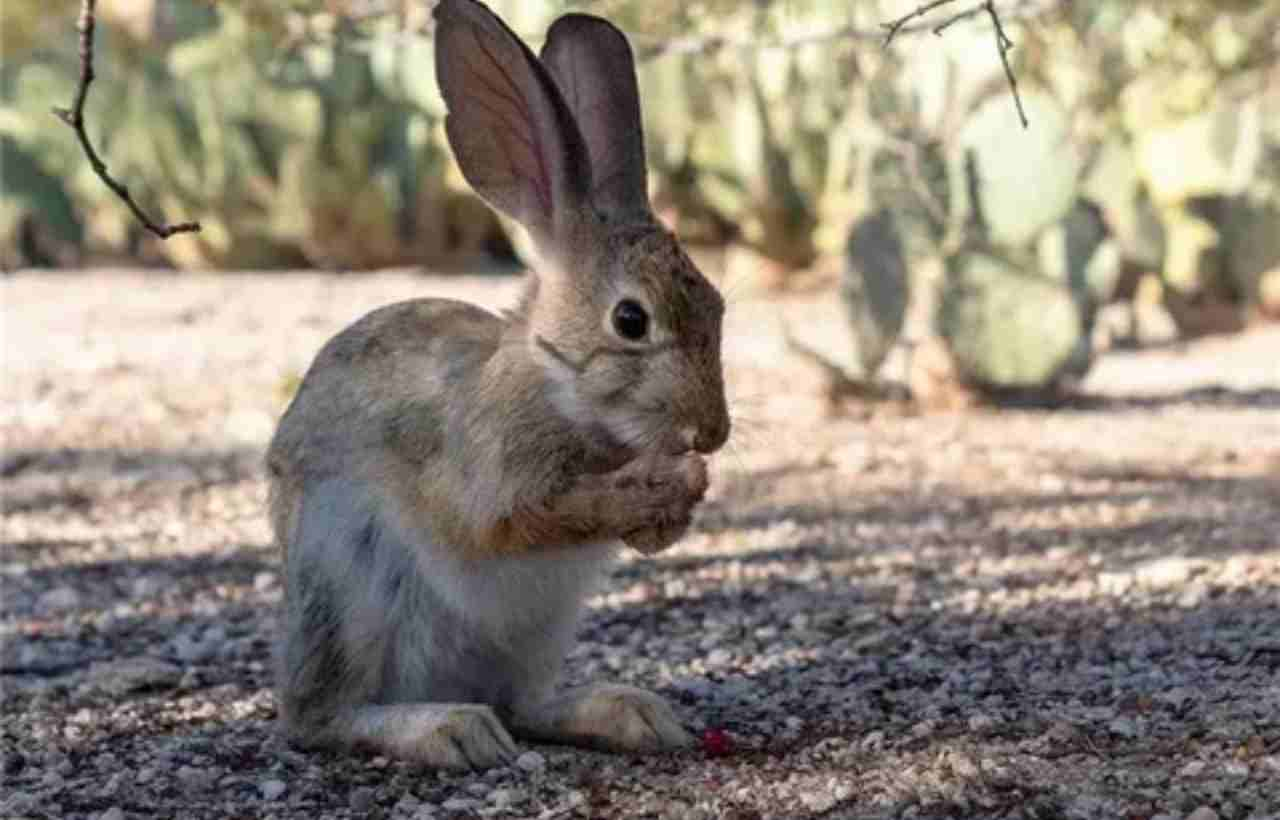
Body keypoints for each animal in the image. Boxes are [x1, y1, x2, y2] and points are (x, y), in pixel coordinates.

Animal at [267, 0, 732, 767]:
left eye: (719, 307)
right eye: (631, 320)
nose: (712, 434)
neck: (556, 385)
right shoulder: (492, 482)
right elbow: (523, 521)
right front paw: (655, 483)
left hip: (540, 632)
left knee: (525, 705)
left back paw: (630, 714)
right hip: (349, 586)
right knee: (323, 715)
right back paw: (450, 729)